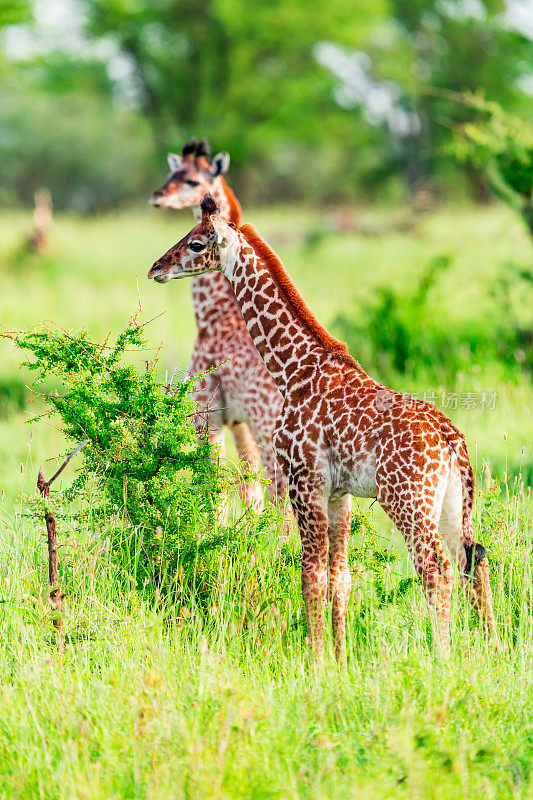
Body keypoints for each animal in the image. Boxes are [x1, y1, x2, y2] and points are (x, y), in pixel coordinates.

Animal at [148, 197, 496, 664]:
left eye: (196, 243)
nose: (156, 267)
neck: (293, 371)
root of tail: (450, 438)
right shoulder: (338, 494)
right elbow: (340, 580)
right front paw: (340, 661)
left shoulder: (304, 482)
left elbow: (309, 575)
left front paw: (314, 664)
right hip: (453, 504)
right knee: (473, 559)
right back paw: (489, 649)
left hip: (408, 502)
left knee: (435, 569)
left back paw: (440, 660)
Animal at [150, 139, 288, 524]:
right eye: (170, 174)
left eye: (192, 181)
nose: (157, 196)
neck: (215, 312)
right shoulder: (238, 422)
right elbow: (248, 491)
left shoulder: (206, 413)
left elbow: (215, 487)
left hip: (271, 431)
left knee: (282, 494)